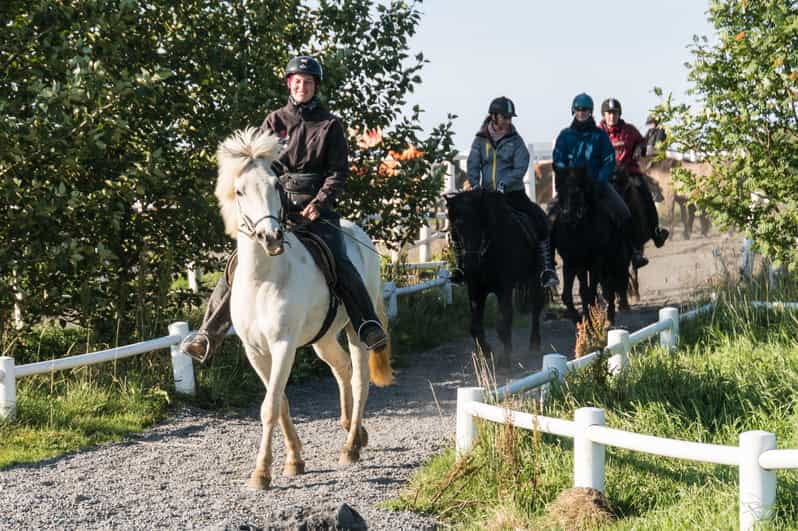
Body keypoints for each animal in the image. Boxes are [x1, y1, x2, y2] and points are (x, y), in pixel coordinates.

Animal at [215, 128, 393, 490]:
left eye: (276, 185)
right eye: (239, 190)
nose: (270, 237)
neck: (264, 278)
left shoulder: (283, 345)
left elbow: (270, 406)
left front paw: (261, 473)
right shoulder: (256, 351)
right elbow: (281, 402)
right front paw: (294, 460)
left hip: (356, 330)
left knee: (360, 379)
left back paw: (351, 447)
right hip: (323, 339)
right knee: (342, 369)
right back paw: (355, 432)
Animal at [444, 189, 546, 368]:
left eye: (479, 224)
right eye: (455, 228)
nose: (470, 264)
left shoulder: (504, 289)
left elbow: (503, 323)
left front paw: (505, 359)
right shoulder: (475, 289)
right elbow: (475, 327)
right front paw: (487, 352)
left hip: (535, 279)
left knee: (536, 306)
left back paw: (534, 343)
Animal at [551, 167, 629, 324]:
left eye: (577, 192)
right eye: (559, 190)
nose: (566, 216)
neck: (579, 230)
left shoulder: (595, 262)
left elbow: (591, 292)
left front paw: (592, 322)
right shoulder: (572, 263)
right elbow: (572, 294)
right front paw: (582, 320)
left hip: (612, 262)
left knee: (610, 287)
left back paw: (610, 318)